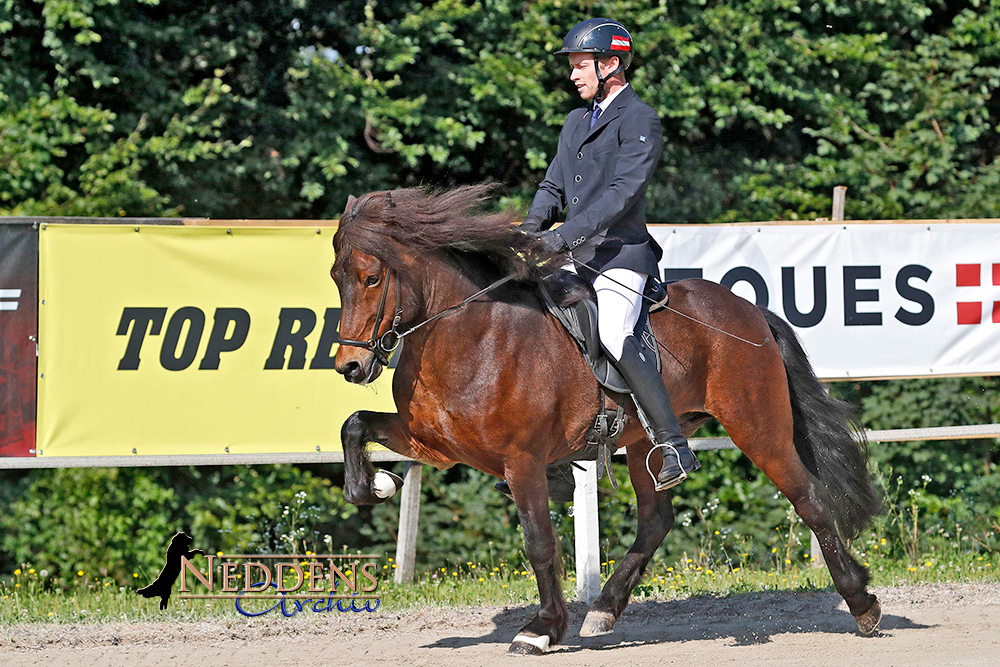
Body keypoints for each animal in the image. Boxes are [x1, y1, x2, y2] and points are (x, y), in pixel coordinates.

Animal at [330, 185, 884, 656]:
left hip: (757, 427)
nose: (350, 367)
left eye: (372, 278)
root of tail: (748, 310)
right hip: (646, 443)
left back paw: (862, 604)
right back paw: (603, 611)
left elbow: (539, 542)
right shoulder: (436, 444)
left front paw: (541, 629)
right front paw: (375, 484)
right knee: (656, 519)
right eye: (337, 278)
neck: (470, 333)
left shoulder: (521, 459)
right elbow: (354, 424)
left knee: (808, 500)